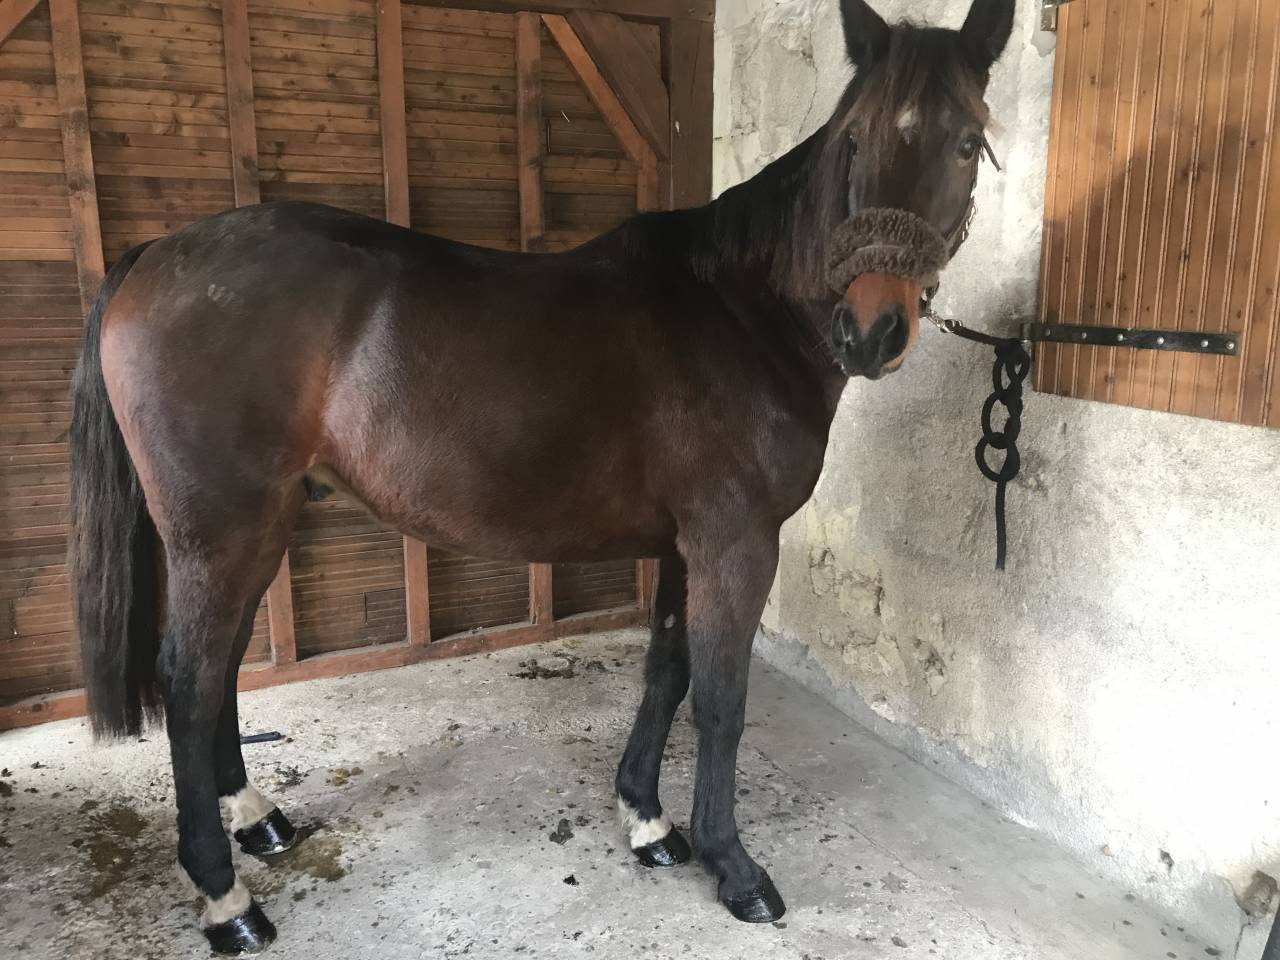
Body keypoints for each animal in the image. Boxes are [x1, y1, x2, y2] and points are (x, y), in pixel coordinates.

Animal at [66, 0, 1014, 951]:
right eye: (853, 142)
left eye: (968, 142)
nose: (872, 331)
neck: (743, 311)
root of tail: (153, 255)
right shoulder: (736, 543)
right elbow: (721, 699)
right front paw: (733, 867)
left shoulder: (686, 544)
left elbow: (667, 670)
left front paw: (648, 822)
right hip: (222, 531)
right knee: (190, 679)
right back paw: (228, 901)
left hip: (256, 528)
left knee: (218, 668)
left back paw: (256, 817)